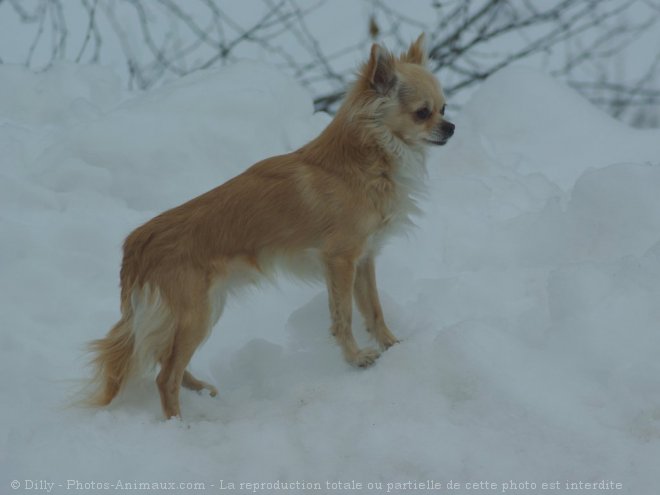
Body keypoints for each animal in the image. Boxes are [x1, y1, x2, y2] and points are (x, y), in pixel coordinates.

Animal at [86, 34, 454, 418]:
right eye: (423, 112)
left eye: (444, 108)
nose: (451, 127)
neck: (365, 160)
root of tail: (136, 246)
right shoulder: (339, 261)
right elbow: (344, 316)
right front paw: (355, 358)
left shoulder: (364, 259)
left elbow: (374, 310)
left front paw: (392, 344)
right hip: (195, 314)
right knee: (165, 376)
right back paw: (179, 423)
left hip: (201, 311)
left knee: (167, 362)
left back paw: (202, 390)